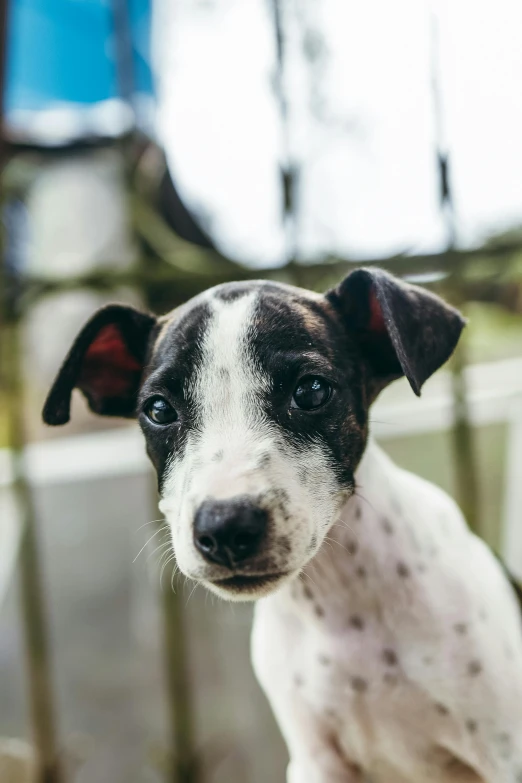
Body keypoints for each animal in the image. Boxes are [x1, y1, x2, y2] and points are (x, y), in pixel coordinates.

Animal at [42, 270, 520, 783]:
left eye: (311, 391)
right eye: (158, 410)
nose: (225, 529)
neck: (341, 601)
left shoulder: (505, 752)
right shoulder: (315, 761)